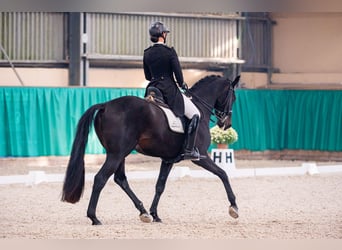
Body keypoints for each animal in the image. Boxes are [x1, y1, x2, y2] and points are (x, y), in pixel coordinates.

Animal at [61, 74, 239, 225]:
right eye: (234, 97)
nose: (226, 124)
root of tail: (105, 105)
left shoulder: (168, 159)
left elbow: (160, 186)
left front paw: (155, 214)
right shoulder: (201, 156)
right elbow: (223, 174)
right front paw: (234, 208)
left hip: (119, 154)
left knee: (120, 179)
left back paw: (144, 212)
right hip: (117, 154)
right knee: (100, 178)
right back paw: (94, 217)